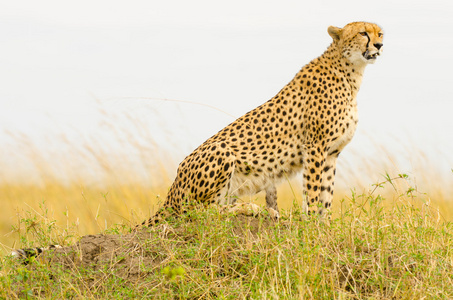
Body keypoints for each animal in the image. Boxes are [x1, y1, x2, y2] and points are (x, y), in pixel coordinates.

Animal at [143, 21, 384, 225]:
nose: (379, 45)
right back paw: (253, 209)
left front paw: (325, 223)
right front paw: (312, 222)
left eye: (380, 33)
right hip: (221, 151)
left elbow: (327, 191)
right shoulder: (315, 147)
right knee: (200, 212)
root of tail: (171, 192)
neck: (351, 72)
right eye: (363, 33)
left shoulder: (332, 153)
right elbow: (313, 189)